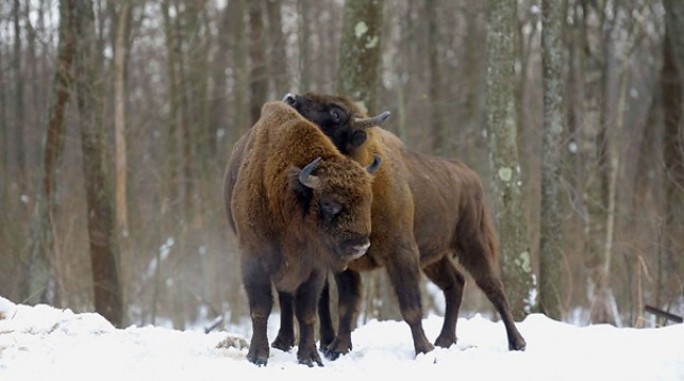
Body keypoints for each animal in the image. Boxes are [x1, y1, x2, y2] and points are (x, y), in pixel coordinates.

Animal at [223, 100, 380, 366]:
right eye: (329, 204)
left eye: (368, 200)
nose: (359, 245)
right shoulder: (253, 258)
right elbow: (261, 307)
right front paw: (257, 356)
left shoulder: (313, 266)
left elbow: (306, 310)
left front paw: (310, 357)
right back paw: (282, 342)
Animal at [280, 92, 528, 360]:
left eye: (336, 113)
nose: (290, 99)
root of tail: (471, 177)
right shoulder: (346, 263)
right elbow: (346, 306)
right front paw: (338, 349)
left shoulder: (400, 254)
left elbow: (410, 307)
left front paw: (423, 349)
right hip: (433, 258)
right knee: (455, 283)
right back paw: (445, 340)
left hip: (472, 243)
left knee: (493, 287)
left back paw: (517, 342)